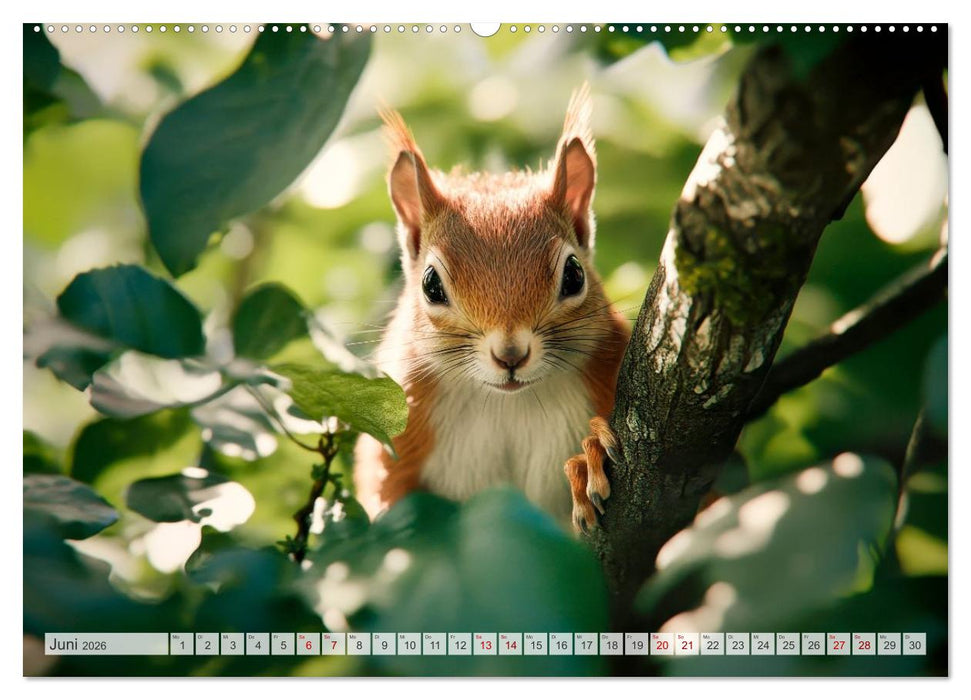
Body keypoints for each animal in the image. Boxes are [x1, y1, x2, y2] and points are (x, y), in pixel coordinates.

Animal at [353, 86, 630, 533]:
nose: (510, 355)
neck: (507, 405)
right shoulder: (398, 434)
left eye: (574, 275)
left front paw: (590, 461)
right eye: (431, 285)